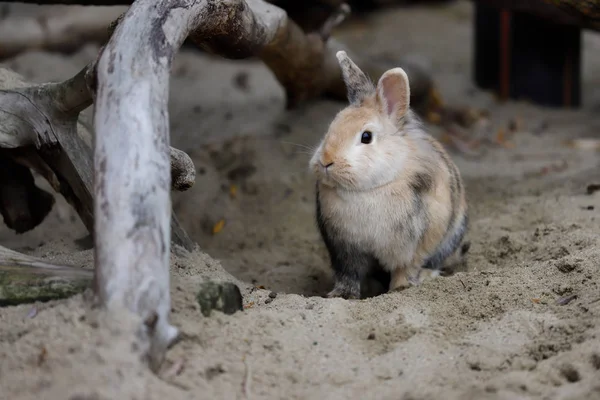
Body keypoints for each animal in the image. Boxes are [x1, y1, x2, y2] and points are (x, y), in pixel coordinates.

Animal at [310, 50, 468, 298]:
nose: (326, 161)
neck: (369, 189)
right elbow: (348, 274)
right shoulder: (344, 250)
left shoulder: (414, 247)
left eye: (366, 137)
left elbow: (407, 267)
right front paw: (341, 295)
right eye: (331, 127)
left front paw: (401, 287)